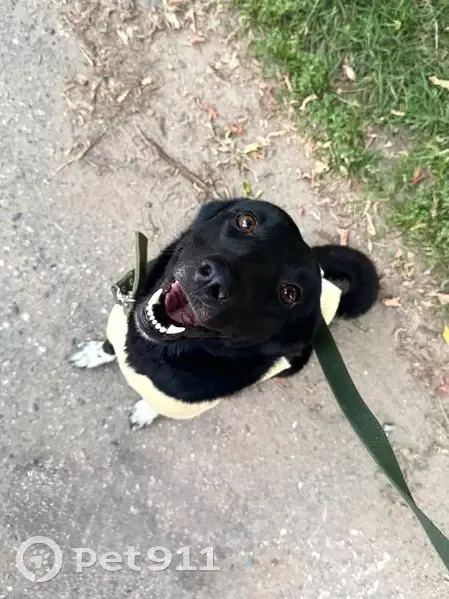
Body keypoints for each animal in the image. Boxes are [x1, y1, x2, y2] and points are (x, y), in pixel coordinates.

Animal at [69, 198, 379, 430]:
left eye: (290, 293)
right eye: (246, 221)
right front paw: (92, 354)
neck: (152, 351)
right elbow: (109, 346)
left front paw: (144, 412)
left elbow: (155, 406)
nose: (215, 280)